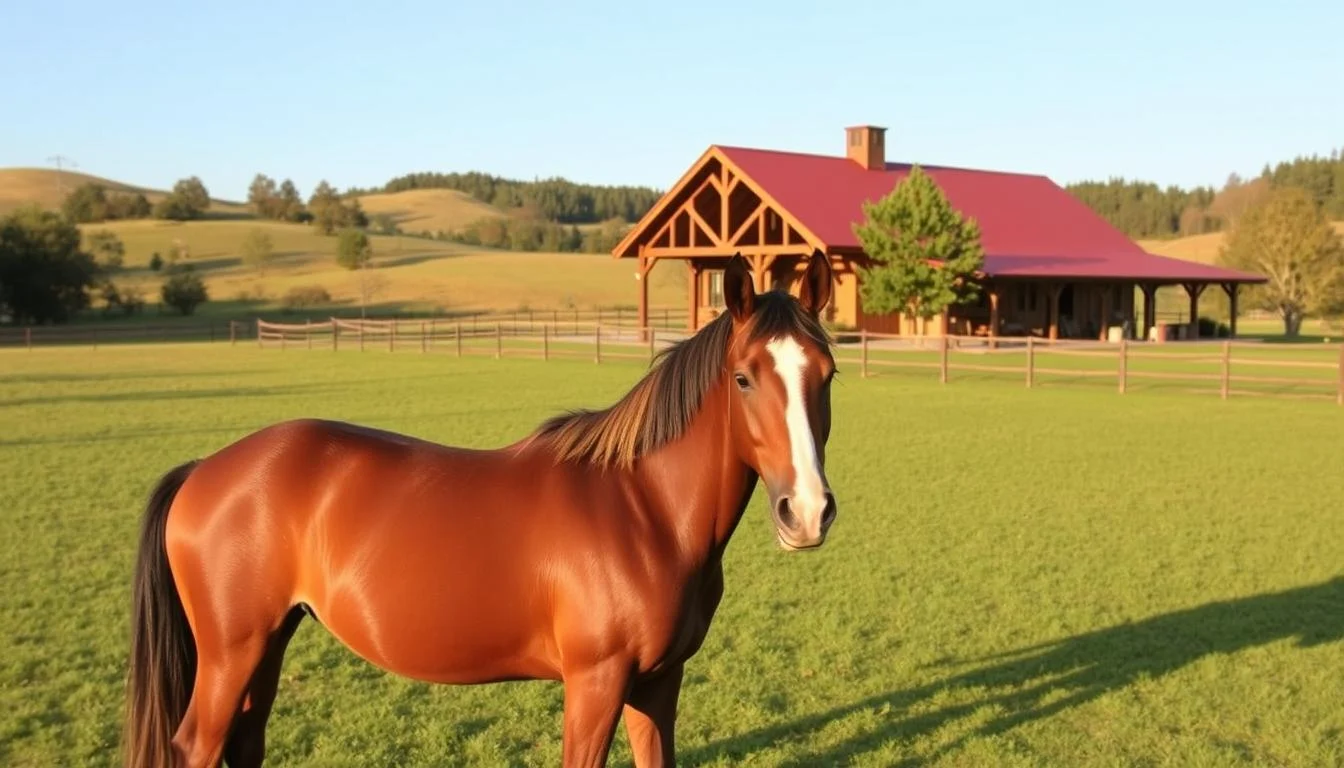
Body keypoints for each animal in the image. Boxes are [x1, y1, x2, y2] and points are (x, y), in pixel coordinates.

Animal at [123, 250, 841, 768]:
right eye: (743, 378)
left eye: (827, 374)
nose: (806, 512)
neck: (643, 511)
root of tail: (203, 471)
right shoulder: (596, 683)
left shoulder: (659, 685)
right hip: (231, 654)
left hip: (267, 644)